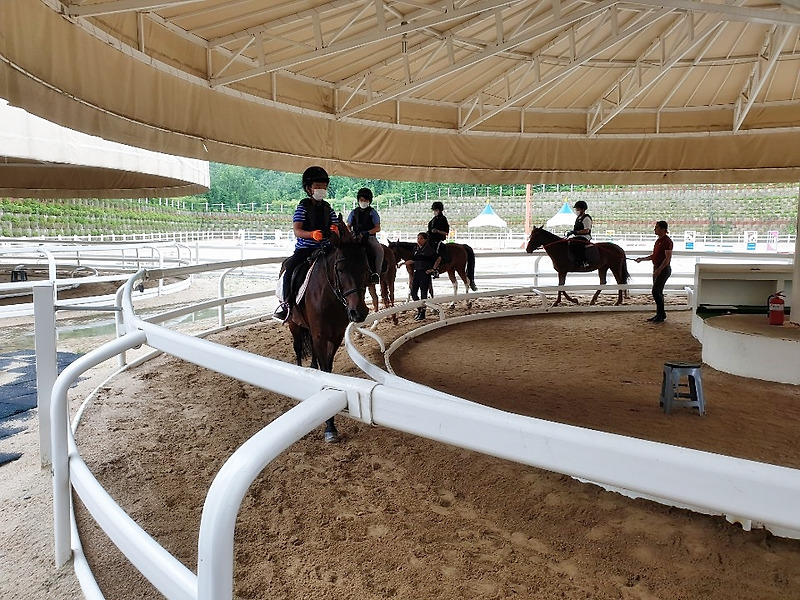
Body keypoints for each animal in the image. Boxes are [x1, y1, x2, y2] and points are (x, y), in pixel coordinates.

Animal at [288, 219, 372, 440]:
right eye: (340, 269)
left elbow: (328, 369)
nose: (359, 312)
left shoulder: (335, 337)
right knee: (298, 350)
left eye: (366, 269)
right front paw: (329, 427)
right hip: (294, 325)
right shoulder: (319, 336)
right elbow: (325, 371)